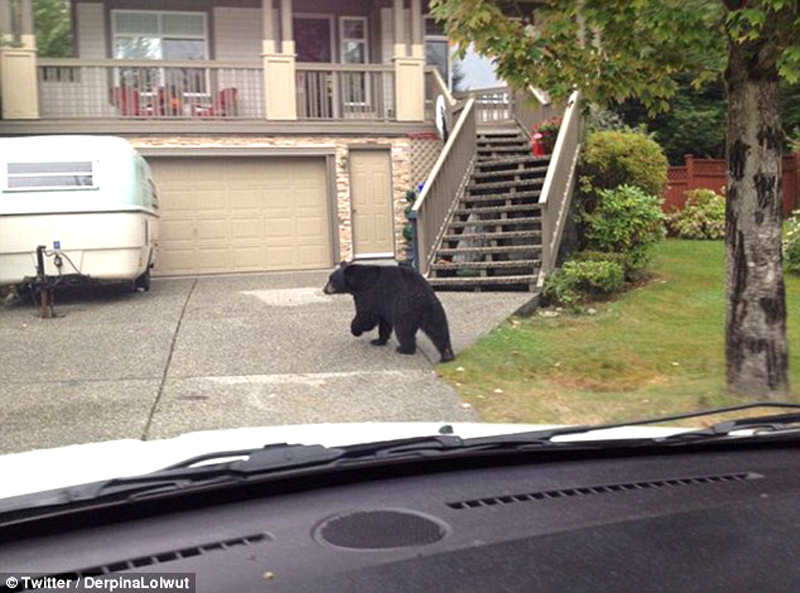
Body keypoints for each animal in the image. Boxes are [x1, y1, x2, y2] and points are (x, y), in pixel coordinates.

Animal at [322, 262, 454, 360]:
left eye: (331, 279)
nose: (324, 290)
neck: (359, 282)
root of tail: (421, 297)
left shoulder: (369, 295)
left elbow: (367, 317)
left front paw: (355, 330)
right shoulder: (384, 305)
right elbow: (384, 323)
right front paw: (378, 341)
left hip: (405, 310)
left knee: (404, 331)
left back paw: (404, 349)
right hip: (433, 308)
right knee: (438, 329)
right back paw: (447, 354)